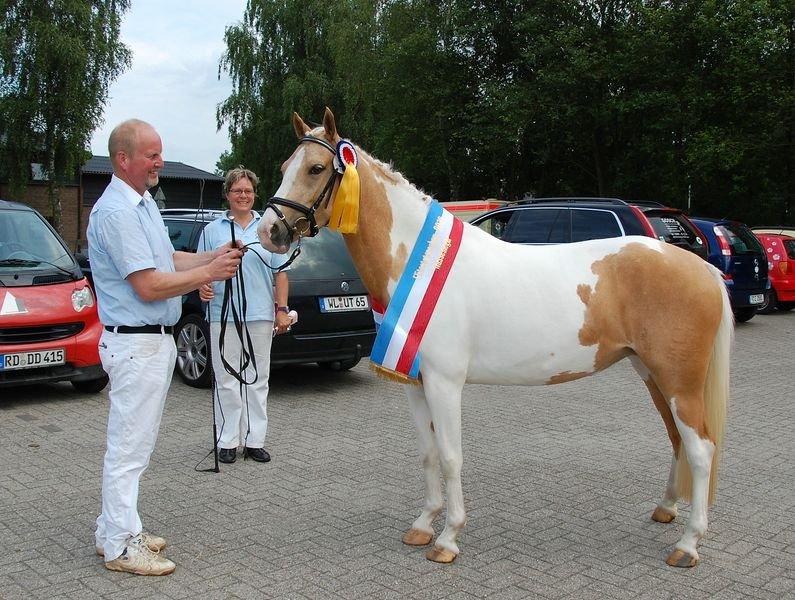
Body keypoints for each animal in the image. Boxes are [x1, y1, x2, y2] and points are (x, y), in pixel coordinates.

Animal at [260, 109, 732, 568]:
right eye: (283, 167)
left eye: (317, 168)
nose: (270, 232)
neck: (421, 264)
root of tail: (701, 268)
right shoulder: (414, 383)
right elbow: (428, 453)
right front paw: (423, 525)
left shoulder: (445, 384)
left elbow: (451, 456)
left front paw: (448, 538)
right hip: (652, 374)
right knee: (677, 439)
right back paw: (667, 509)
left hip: (679, 381)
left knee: (700, 449)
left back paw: (688, 545)